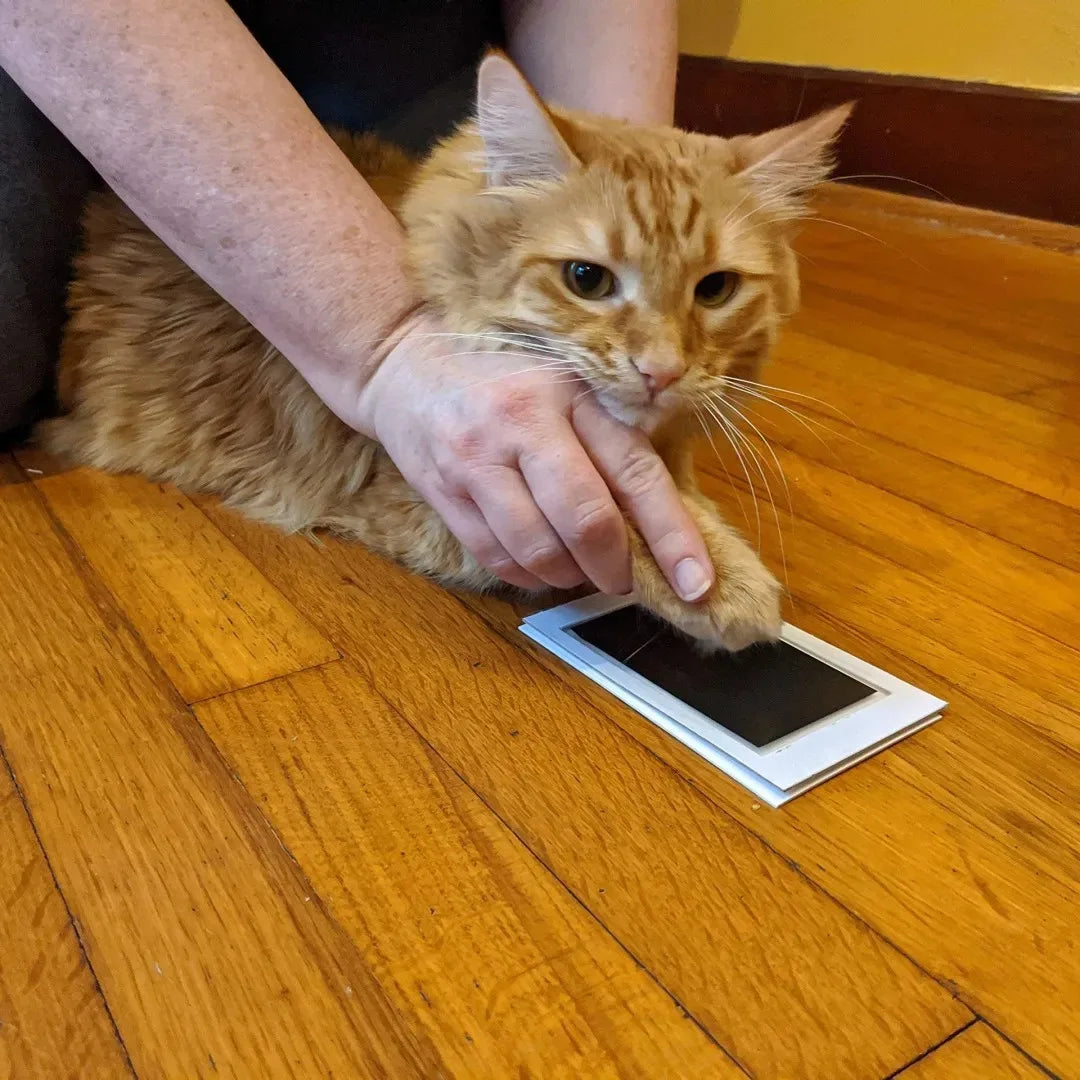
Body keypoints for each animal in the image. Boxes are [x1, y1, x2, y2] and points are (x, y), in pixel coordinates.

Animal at [39, 52, 851, 648]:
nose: (662, 371)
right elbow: (624, 524)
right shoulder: (432, 509)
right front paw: (721, 587)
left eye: (715, 290)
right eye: (587, 279)